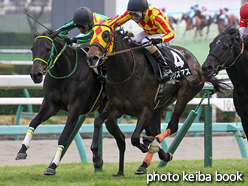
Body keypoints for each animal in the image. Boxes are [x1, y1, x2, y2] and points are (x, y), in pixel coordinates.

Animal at [85, 17, 225, 176]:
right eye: (91, 35)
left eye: (106, 35)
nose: (92, 58)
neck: (127, 73)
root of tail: (197, 64)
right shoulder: (115, 108)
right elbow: (97, 122)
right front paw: (97, 158)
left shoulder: (145, 110)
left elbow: (134, 138)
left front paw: (146, 145)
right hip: (161, 104)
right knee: (156, 130)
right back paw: (150, 159)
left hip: (185, 94)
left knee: (172, 126)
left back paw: (154, 148)